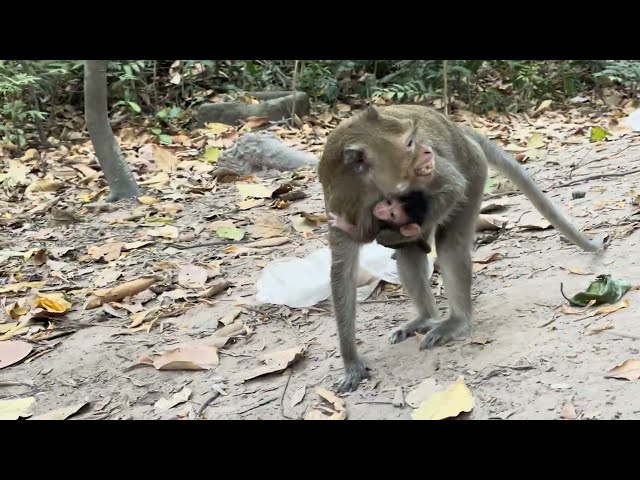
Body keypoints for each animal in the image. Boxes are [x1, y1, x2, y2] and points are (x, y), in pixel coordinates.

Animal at [318, 103, 608, 392]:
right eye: (410, 143)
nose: (427, 151)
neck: (373, 186)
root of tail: (457, 128)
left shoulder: (431, 175)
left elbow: (454, 187)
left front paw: (403, 231)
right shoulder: (342, 199)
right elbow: (342, 273)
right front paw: (351, 363)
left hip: (474, 167)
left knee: (450, 243)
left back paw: (456, 321)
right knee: (409, 255)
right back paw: (424, 317)